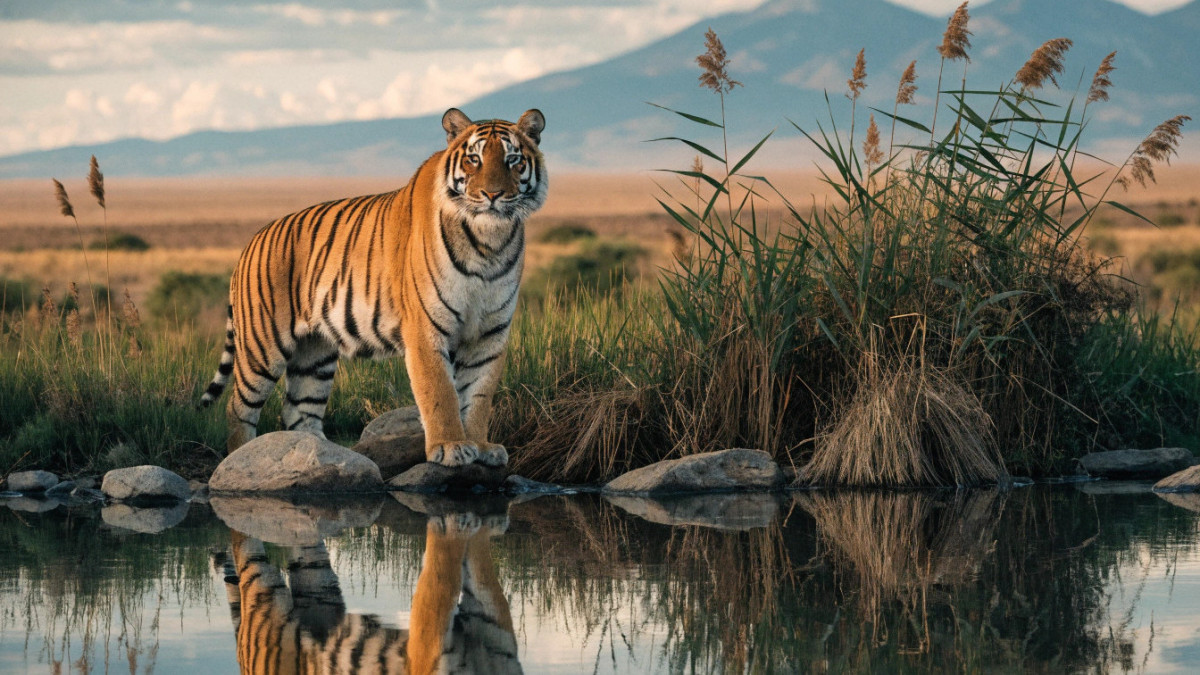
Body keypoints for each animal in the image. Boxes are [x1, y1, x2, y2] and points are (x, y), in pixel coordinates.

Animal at [199, 108, 547, 465]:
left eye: (513, 159)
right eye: (474, 159)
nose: (492, 195)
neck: (489, 242)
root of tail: (250, 242)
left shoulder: (489, 334)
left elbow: (478, 396)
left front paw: (480, 446)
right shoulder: (425, 329)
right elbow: (440, 393)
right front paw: (449, 446)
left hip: (315, 356)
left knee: (299, 412)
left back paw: (320, 456)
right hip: (263, 347)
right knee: (238, 408)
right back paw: (240, 457)